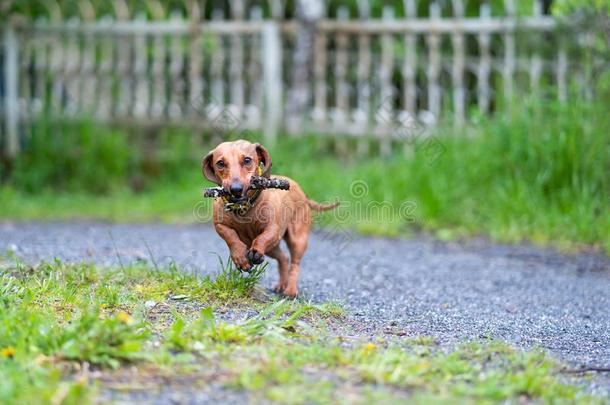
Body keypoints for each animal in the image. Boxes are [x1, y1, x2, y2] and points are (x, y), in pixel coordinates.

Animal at [203, 140, 338, 296]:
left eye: (247, 160)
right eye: (220, 163)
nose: (236, 189)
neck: (244, 209)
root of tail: (303, 195)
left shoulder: (273, 229)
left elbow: (261, 238)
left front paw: (255, 252)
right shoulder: (220, 226)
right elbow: (231, 237)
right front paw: (240, 257)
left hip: (297, 240)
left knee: (295, 264)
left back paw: (290, 289)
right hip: (272, 249)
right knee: (284, 258)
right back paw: (282, 284)